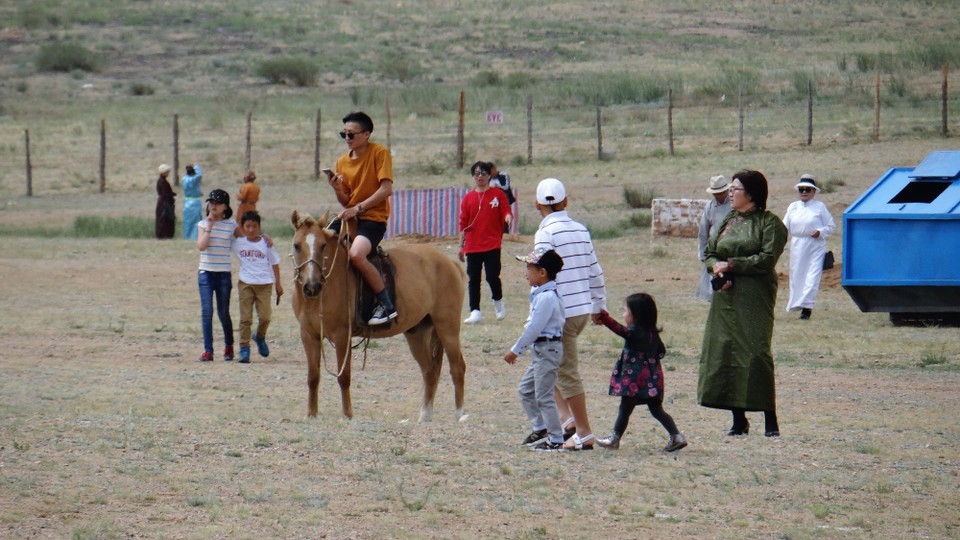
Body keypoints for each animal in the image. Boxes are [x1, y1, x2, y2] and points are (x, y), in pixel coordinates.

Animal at [288, 211, 468, 422]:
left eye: (323, 245)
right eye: (296, 245)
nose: (312, 286)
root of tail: (449, 263)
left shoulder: (342, 336)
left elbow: (344, 376)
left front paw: (347, 414)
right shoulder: (309, 335)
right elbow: (313, 377)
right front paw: (312, 413)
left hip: (447, 327)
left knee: (457, 367)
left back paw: (460, 414)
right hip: (417, 333)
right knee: (429, 370)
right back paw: (425, 415)